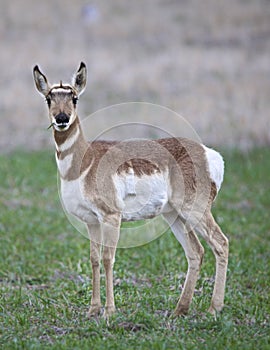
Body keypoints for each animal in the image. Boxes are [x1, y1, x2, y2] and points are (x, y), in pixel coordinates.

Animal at [33, 61, 228, 318]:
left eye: (74, 98)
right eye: (48, 98)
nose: (62, 118)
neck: (85, 162)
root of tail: (209, 153)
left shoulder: (111, 217)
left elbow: (108, 258)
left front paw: (109, 311)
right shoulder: (91, 221)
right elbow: (94, 259)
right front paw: (92, 310)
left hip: (195, 210)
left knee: (220, 243)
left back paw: (214, 308)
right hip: (174, 215)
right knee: (196, 251)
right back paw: (179, 310)